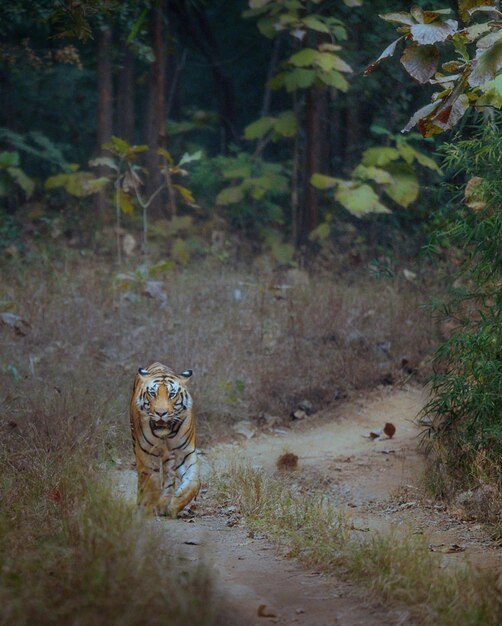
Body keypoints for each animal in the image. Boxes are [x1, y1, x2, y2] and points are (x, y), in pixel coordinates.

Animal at [129, 360, 200, 516]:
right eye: (152, 393)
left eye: (172, 394)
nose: (160, 413)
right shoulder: (146, 452)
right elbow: (152, 481)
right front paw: (148, 507)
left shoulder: (184, 453)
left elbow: (194, 482)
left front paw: (174, 505)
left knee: (169, 474)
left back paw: (164, 502)